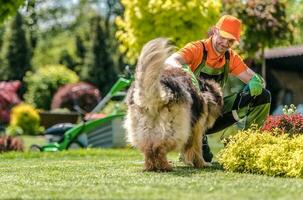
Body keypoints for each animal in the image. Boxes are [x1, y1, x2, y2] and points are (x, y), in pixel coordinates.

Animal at [123, 38, 223, 171]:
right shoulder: (196, 128)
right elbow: (196, 148)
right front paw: (201, 163)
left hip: (143, 126)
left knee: (148, 147)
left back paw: (151, 166)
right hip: (176, 128)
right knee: (159, 146)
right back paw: (165, 165)